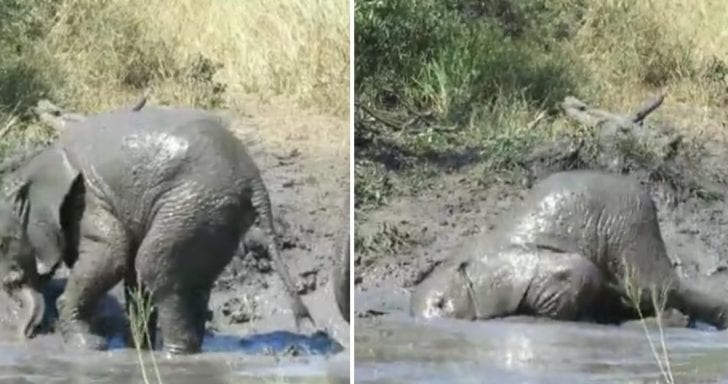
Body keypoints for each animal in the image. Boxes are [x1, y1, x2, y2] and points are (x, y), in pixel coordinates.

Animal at [0, 105, 312, 354]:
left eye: (3, 243)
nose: (24, 334)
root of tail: (255, 180)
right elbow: (126, 269)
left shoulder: (91, 197)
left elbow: (111, 255)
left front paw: (90, 347)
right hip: (217, 215)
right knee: (185, 281)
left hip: (194, 202)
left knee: (156, 268)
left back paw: (173, 355)